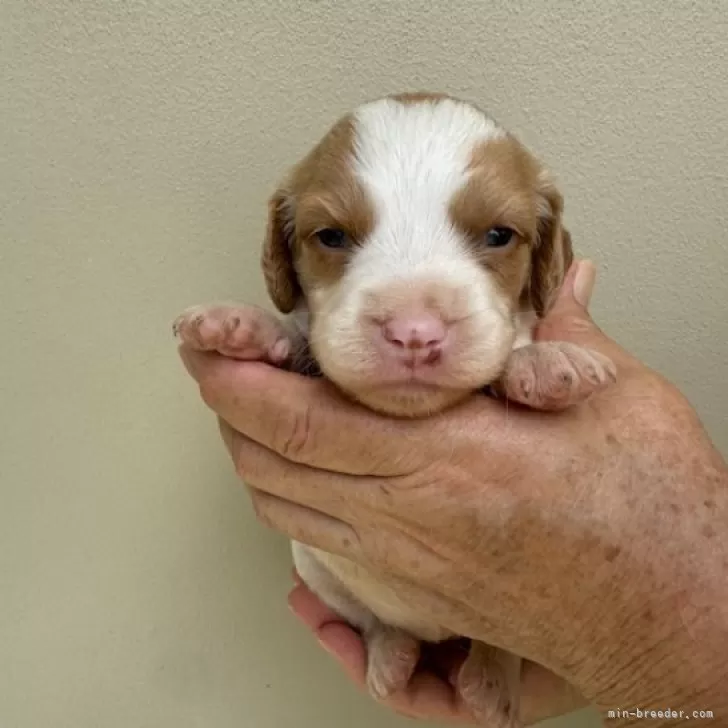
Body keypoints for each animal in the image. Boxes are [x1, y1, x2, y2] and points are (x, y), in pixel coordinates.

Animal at [175, 94, 616, 724]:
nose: (414, 332)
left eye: (499, 234)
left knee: (503, 638)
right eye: (330, 236)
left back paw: (491, 679)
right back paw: (392, 654)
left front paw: (543, 362)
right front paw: (243, 324)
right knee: (373, 622)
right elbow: (296, 336)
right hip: (317, 570)